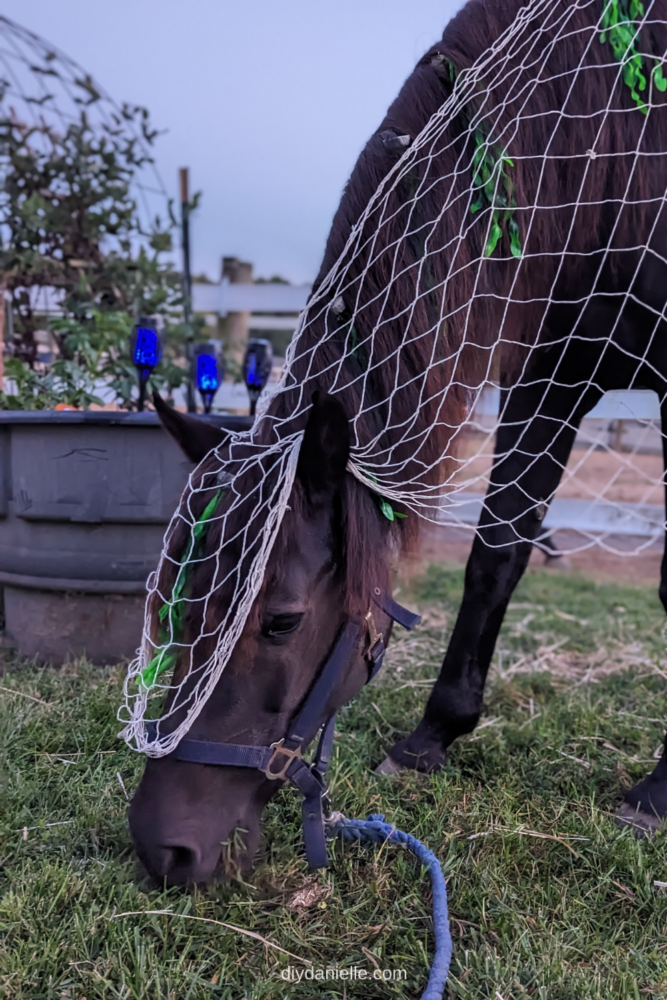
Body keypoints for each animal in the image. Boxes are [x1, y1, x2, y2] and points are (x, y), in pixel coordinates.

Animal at [130, 1, 667, 884]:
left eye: (280, 622)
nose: (162, 845)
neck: (616, 151)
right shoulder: (549, 375)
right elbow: (494, 558)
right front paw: (429, 737)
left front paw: (656, 791)